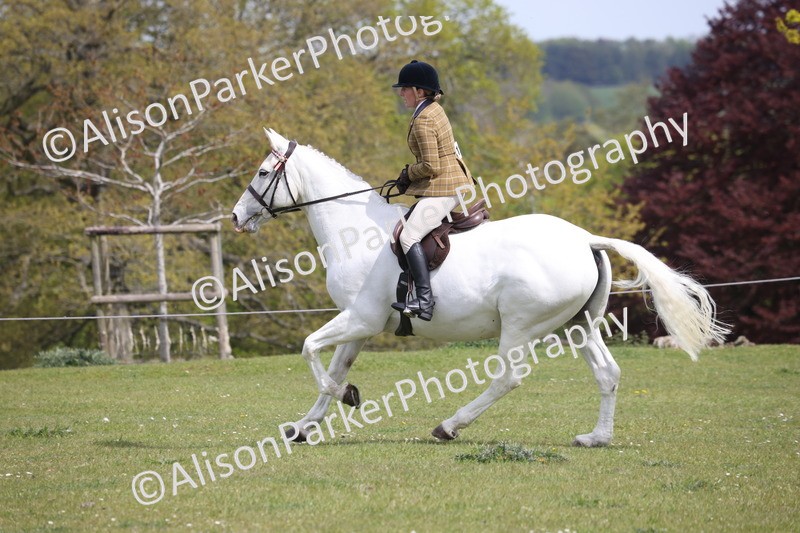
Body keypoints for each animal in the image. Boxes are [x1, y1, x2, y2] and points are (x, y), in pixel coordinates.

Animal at [230, 128, 728, 447]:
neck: (357, 233)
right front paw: (303, 427)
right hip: (576, 325)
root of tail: (585, 239)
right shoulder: (363, 324)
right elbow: (332, 368)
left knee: (508, 377)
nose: (236, 217)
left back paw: (449, 426)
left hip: (522, 324)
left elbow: (311, 350)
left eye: (262, 173)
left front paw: (347, 398)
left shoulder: (362, 318)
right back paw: (596, 438)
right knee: (607, 373)